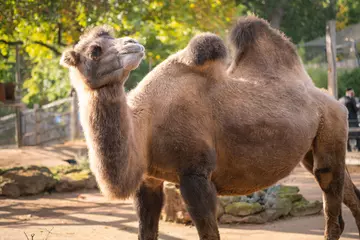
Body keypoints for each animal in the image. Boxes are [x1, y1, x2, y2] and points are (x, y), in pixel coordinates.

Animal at [60, 15, 360, 239]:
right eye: (95, 50)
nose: (133, 43)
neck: (145, 125)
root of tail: (331, 99)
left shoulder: (195, 172)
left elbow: (208, 231)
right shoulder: (149, 180)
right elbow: (146, 231)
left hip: (331, 123)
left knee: (329, 186)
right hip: (315, 144)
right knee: (344, 187)